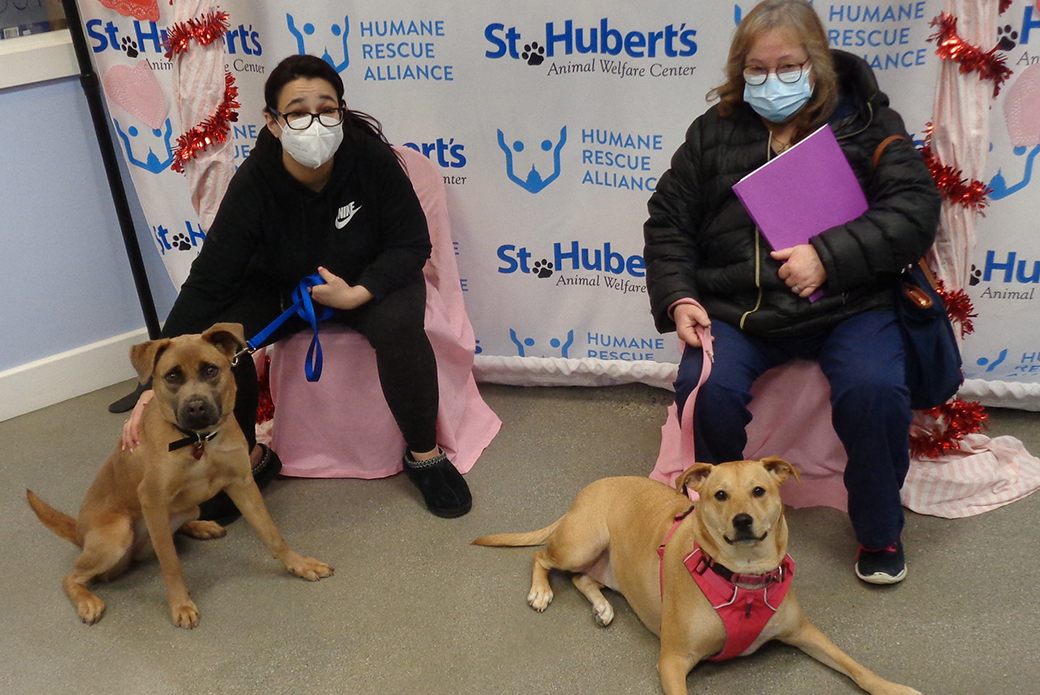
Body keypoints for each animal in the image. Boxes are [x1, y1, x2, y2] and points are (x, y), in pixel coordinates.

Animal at [25, 322, 332, 628]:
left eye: (210, 369)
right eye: (172, 375)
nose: (195, 407)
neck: (198, 441)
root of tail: (79, 532)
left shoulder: (242, 484)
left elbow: (272, 533)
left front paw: (300, 564)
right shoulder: (151, 499)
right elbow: (171, 564)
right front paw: (181, 604)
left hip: (188, 508)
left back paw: (200, 526)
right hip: (117, 534)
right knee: (71, 577)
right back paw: (87, 601)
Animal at [476, 455, 923, 695]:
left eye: (759, 490)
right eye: (719, 495)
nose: (742, 521)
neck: (744, 579)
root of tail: (586, 492)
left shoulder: (806, 632)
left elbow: (855, 666)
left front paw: (893, 688)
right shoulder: (672, 661)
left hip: (602, 562)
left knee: (584, 579)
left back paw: (602, 607)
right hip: (581, 543)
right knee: (541, 559)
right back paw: (540, 592)